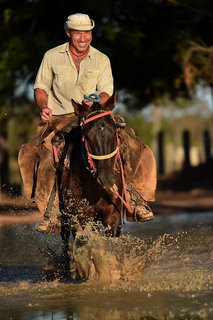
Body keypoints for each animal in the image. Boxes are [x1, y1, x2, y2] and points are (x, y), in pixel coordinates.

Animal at [58, 95, 127, 260]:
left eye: (114, 133)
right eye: (87, 138)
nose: (107, 179)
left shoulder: (113, 217)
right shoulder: (78, 219)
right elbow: (84, 244)